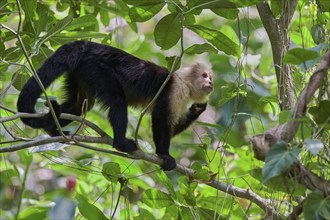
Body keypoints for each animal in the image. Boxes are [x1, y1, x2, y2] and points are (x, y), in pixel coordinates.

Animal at [17, 40, 214, 171]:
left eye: (210, 77)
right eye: (205, 75)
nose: (211, 82)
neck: (185, 84)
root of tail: (90, 45)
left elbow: (171, 127)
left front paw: (197, 110)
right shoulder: (176, 90)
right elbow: (159, 118)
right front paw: (164, 155)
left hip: (82, 71)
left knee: (80, 105)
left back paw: (53, 130)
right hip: (96, 67)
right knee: (118, 99)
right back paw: (120, 143)